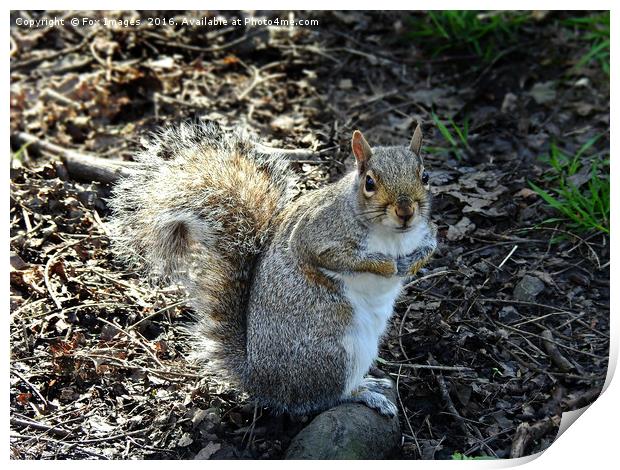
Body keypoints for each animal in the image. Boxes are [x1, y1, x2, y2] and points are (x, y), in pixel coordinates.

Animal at [111, 120, 438, 414]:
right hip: (334, 352)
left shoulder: (423, 232)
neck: (392, 235)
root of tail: (261, 381)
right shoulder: (316, 233)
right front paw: (386, 265)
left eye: (425, 177)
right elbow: (331, 256)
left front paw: (413, 262)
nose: (406, 211)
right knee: (324, 398)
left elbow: (430, 245)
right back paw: (364, 393)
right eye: (370, 183)